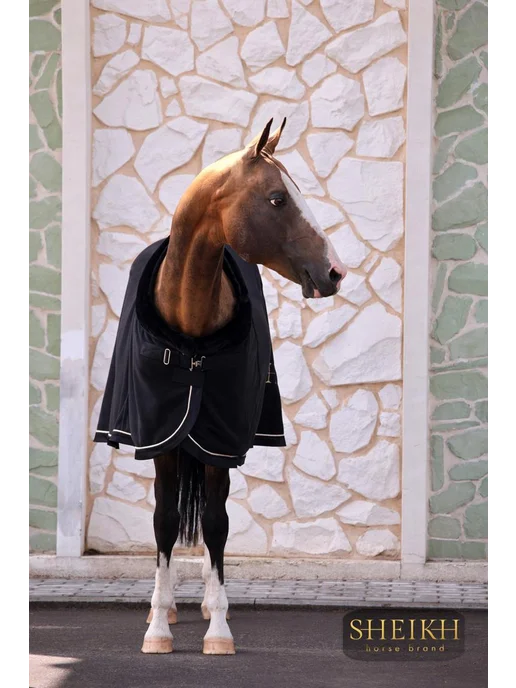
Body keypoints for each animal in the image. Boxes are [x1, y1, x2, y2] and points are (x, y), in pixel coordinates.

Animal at [105, 118, 346, 655]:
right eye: (278, 198)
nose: (335, 271)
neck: (191, 334)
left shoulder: (219, 443)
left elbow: (216, 525)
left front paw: (218, 627)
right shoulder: (162, 440)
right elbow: (165, 522)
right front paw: (157, 627)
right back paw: (167, 607)